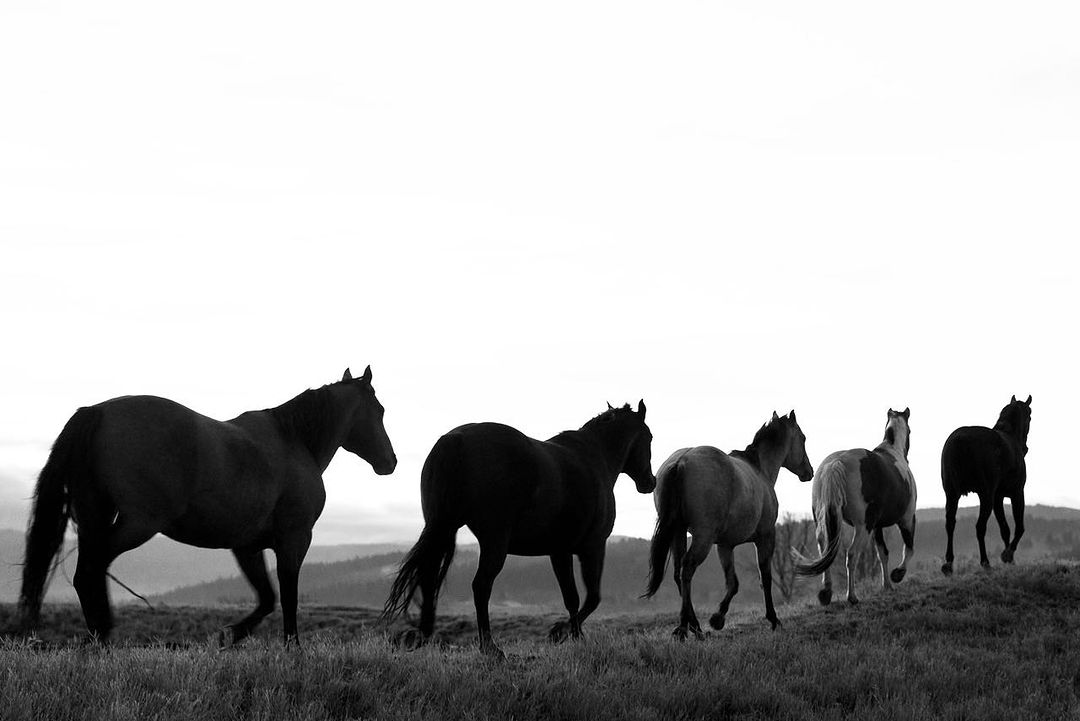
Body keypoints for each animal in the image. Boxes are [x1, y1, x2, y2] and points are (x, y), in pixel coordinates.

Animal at [19, 367, 396, 644]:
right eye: (379, 411)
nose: (389, 462)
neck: (294, 442)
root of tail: (96, 412)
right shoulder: (294, 539)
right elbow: (288, 597)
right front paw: (292, 648)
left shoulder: (247, 547)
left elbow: (266, 598)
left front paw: (230, 634)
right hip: (136, 525)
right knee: (91, 570)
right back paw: (103, 633)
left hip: (95, 517)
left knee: (87, 574)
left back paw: (98, 636)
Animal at [382, 401, 655, 657]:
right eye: (649, 437)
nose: (649, 482)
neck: (594, 459)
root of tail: (456, 439)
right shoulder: (593, 546)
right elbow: (591, 598)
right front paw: (566, 633)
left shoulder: (560, 551)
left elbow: (571, 597)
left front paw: (568, 634)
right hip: (493, 540)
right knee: (481, 586)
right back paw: (490, 647)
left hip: (443, 528)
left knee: (429, 579)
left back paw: (424, 636)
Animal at [644, 411, 813, 639]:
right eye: (803, 438)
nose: (809, 472)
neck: (759, 469)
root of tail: (681, 461)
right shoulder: (766, 537)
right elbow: (765, 577)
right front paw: (773, 619)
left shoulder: (725, 545)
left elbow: (732, 583)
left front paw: (718, 618)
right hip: (702, 538)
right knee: (687, 569)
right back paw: (688, 627)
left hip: (678, 533)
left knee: (679, 573)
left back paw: (691, 626)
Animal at [792, 408, 916, 605]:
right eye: (910, 430)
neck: (893, 452)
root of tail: (836, 463)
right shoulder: (907, 519)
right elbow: (909, 549)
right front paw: (897, 575)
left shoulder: (877, 527)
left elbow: (883, 553)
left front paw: (887, 585)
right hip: (862, 527)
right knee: (852, 554)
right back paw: (852, 596)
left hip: (829, 524)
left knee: (826, 550)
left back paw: (826, 592)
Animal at [940, 395, 1032, 574]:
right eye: (1030, 417)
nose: (1025, 448)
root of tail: (960, 440)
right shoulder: (1017, 492)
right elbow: (1019, 527)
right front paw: (1008, 554)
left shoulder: (998, 497)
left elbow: (1004, 528)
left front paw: (1010, 559)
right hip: (985, 495)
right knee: (980, 526)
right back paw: (985, 562)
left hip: (952, 494)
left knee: (950, 523)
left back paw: (949, 563)